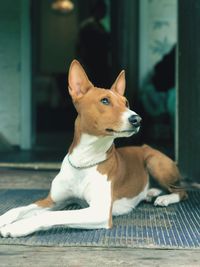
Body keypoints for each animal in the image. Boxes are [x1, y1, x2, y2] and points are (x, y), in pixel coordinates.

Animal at [0, 60, 188, 239]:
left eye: (126, 103)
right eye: (105, 101)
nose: (137, 119)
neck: (84, 160)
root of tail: (147, 147)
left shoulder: (100, 211)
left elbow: (51, 216)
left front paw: (18, 227)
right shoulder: (52, 201)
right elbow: (18, 208)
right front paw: (4, 219)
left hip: (154, 162)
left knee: (182, 191)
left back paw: (164, 198)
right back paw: (152, 192)